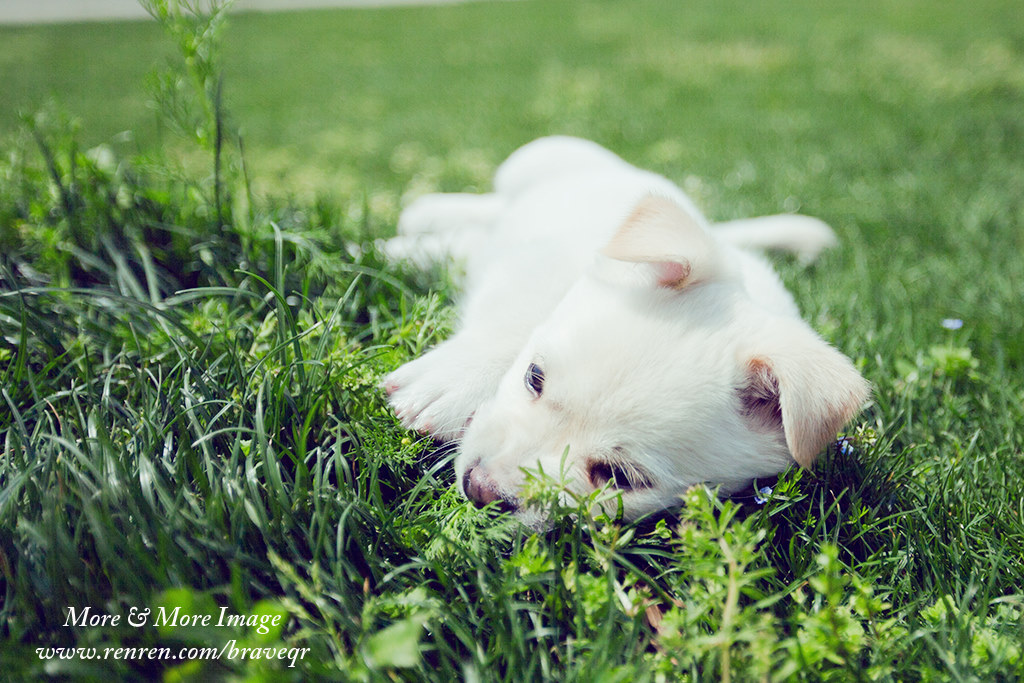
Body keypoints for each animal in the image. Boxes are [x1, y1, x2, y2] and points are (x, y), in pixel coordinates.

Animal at [380, 136, 868, 528]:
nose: (479, 488)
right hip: (538, 158)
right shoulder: (536, 265)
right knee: (488, 210)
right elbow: (518, 311)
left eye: (619, 478)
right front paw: (452, 381)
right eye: (534, 378)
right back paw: (424, 217)